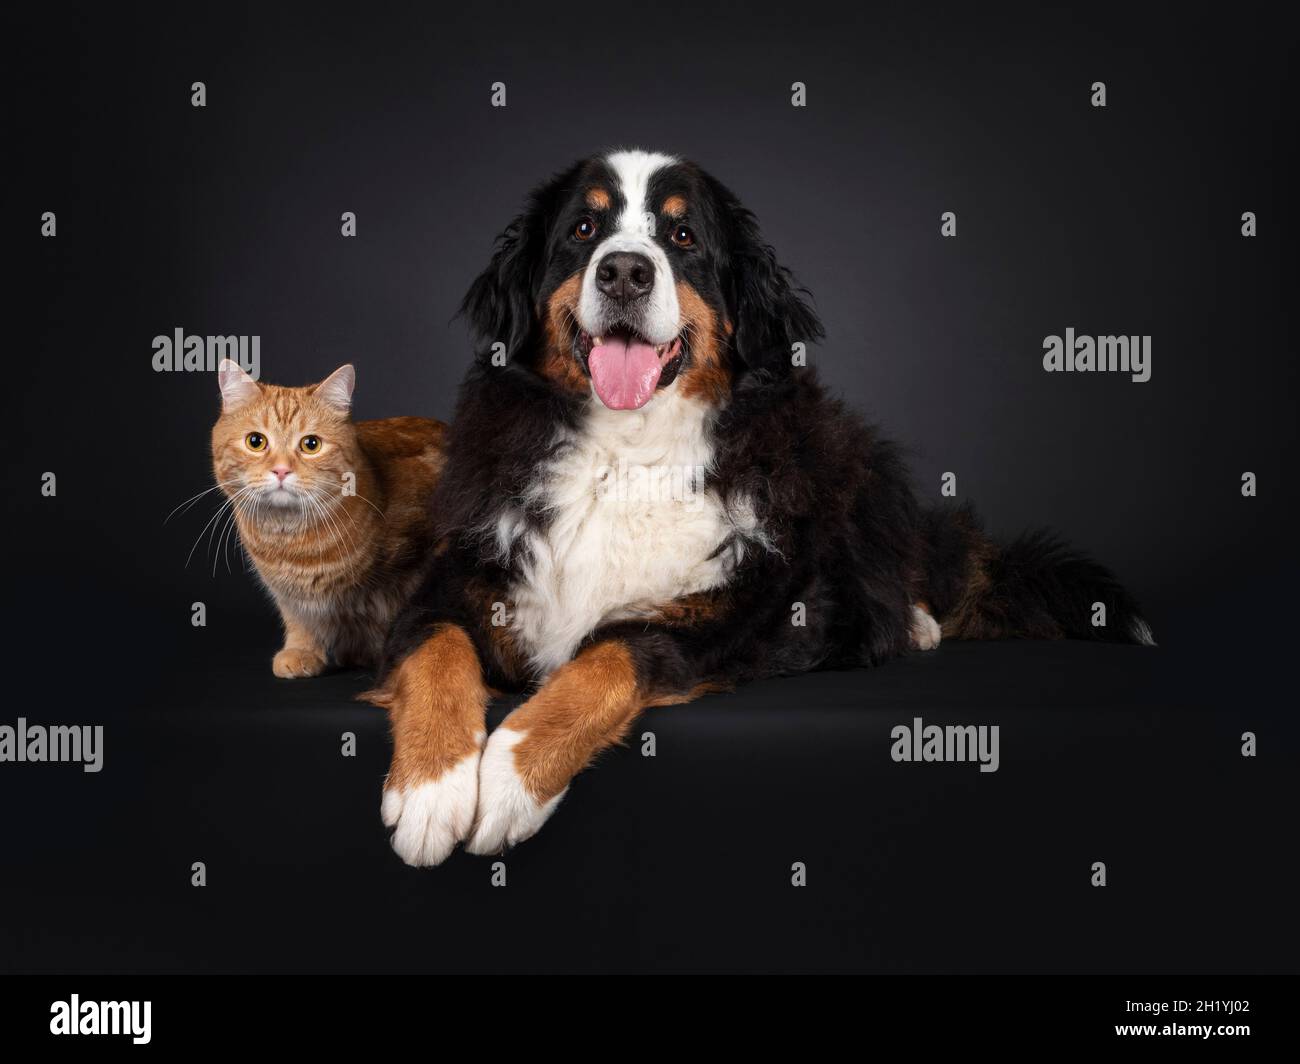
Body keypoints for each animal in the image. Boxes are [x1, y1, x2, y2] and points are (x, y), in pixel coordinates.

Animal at [213, 356, 447, 671]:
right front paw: (301, 649)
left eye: (311, 444)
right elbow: (298, 616)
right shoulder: (287, 594)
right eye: (255, 442)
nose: (281, 470)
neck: (289, 541)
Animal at [366, 146, 1149, 863]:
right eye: (584, 229)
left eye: (683, 237)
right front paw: (432, 787)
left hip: (852, 464)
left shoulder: (724, 615)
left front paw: (508, 779)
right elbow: (438, 652)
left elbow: (605, 657)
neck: (625, 452)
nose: (625, 271)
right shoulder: (452, 583)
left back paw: (917, 623)